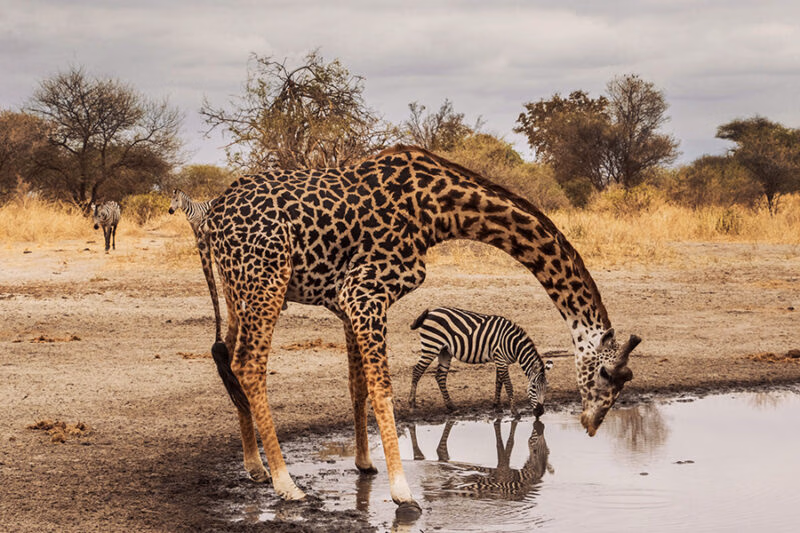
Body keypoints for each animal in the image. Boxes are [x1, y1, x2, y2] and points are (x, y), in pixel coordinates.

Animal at [409, 307, 553, 417]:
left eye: (546, 387)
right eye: (533, 387)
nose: (540, 412)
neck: (513, 344)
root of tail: (431, 312)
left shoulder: (500, 360)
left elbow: (498, 383)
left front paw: (497, 406)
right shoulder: (500, 359)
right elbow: (508, 385)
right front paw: (514, 411)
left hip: (445, 351)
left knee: (440, 376)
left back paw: (451, 406)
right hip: (431, 346)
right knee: (417, 371)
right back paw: (412, 404)